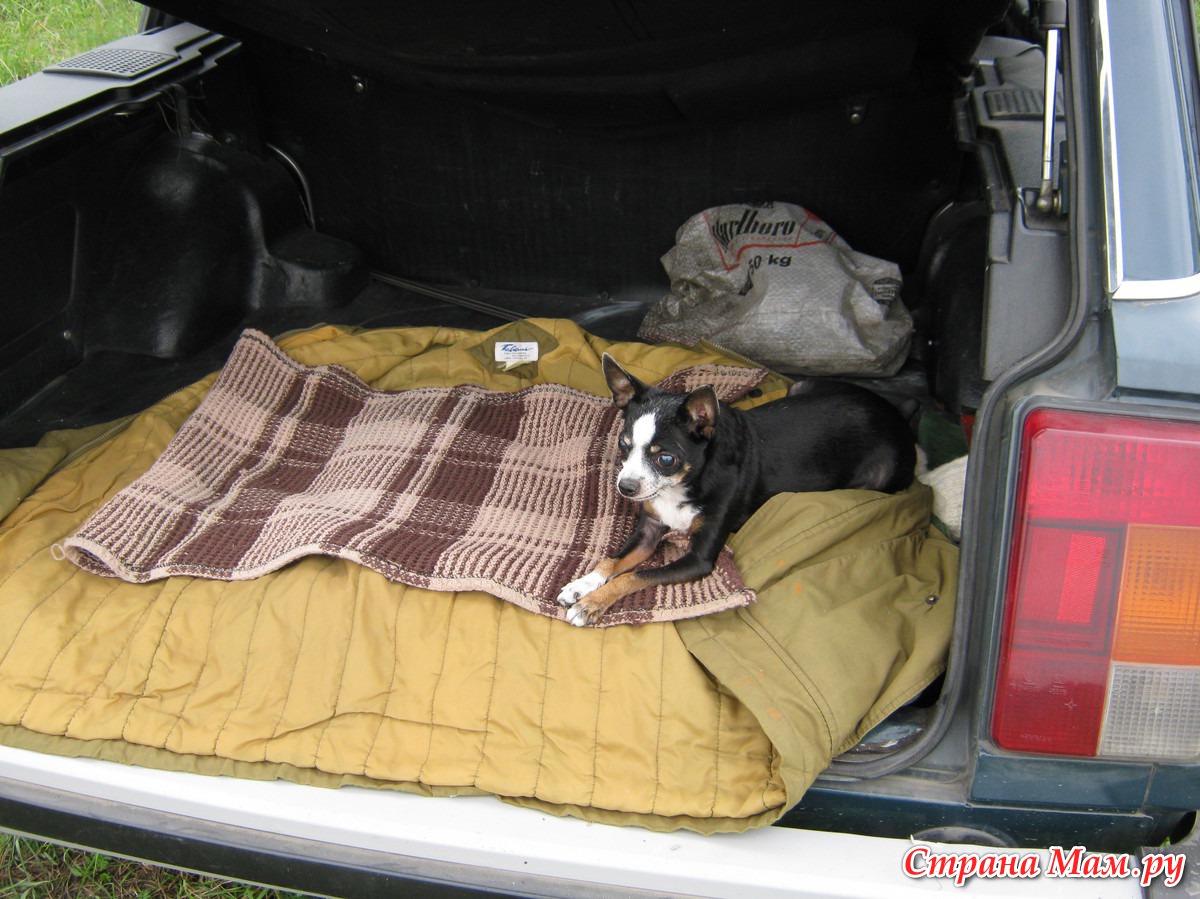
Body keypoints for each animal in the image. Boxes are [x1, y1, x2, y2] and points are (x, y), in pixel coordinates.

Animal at [556, 354, 917, 626]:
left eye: (666, 459)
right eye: (623, 445)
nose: (626, 487)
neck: (684, 485)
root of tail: (896, 414)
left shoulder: (698, 559)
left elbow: (635, 577)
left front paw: (591, 603)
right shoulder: (649, 530)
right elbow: (613, 560)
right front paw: (582, 585)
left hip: (879, 478)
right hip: (801, 385)